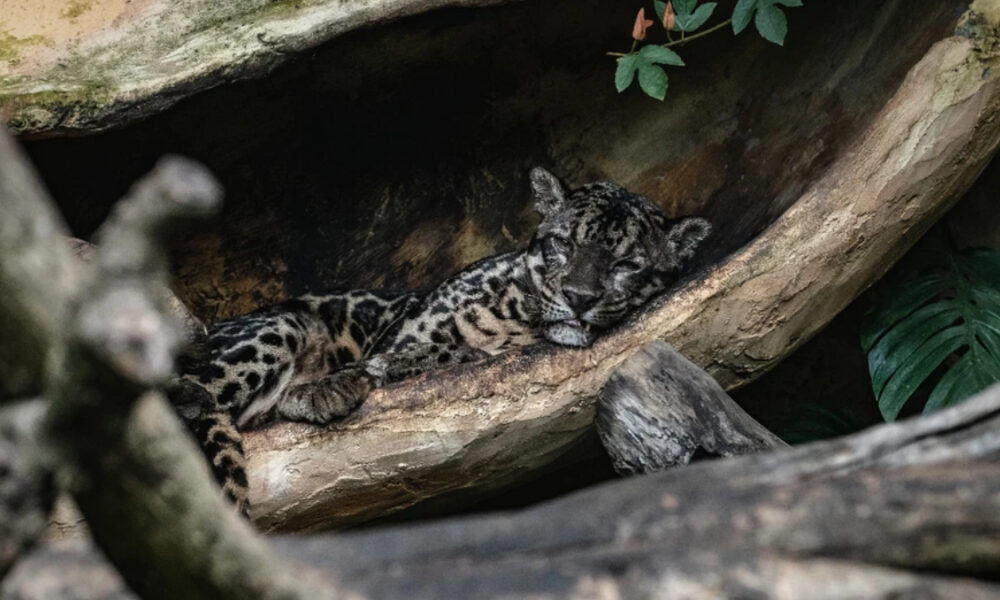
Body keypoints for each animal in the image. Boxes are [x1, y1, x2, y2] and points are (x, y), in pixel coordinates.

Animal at [168, 166, 712, 515]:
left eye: (627, 264)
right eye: (564, 243)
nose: (578, 298)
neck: (525, 318)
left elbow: (457, 350)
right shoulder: (407, 326)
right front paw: (329, 387)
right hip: (278, 327)